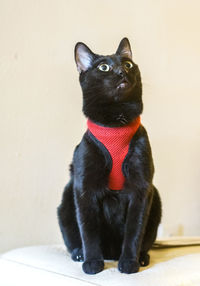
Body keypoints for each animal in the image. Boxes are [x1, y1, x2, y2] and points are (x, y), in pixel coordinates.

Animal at [57, 38, 162, 274]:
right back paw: (79, 253)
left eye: (128, 64)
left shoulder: (141, 188)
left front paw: (129, 263)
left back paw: (142, 257)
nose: (122, 71)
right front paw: (92, 263)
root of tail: (112, 252)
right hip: (67, 196)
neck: (116, 123)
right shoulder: (84, 188)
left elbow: (135, 231)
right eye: (103, 67)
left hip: (156, 197)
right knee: (74, 238)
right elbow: (88, 230)